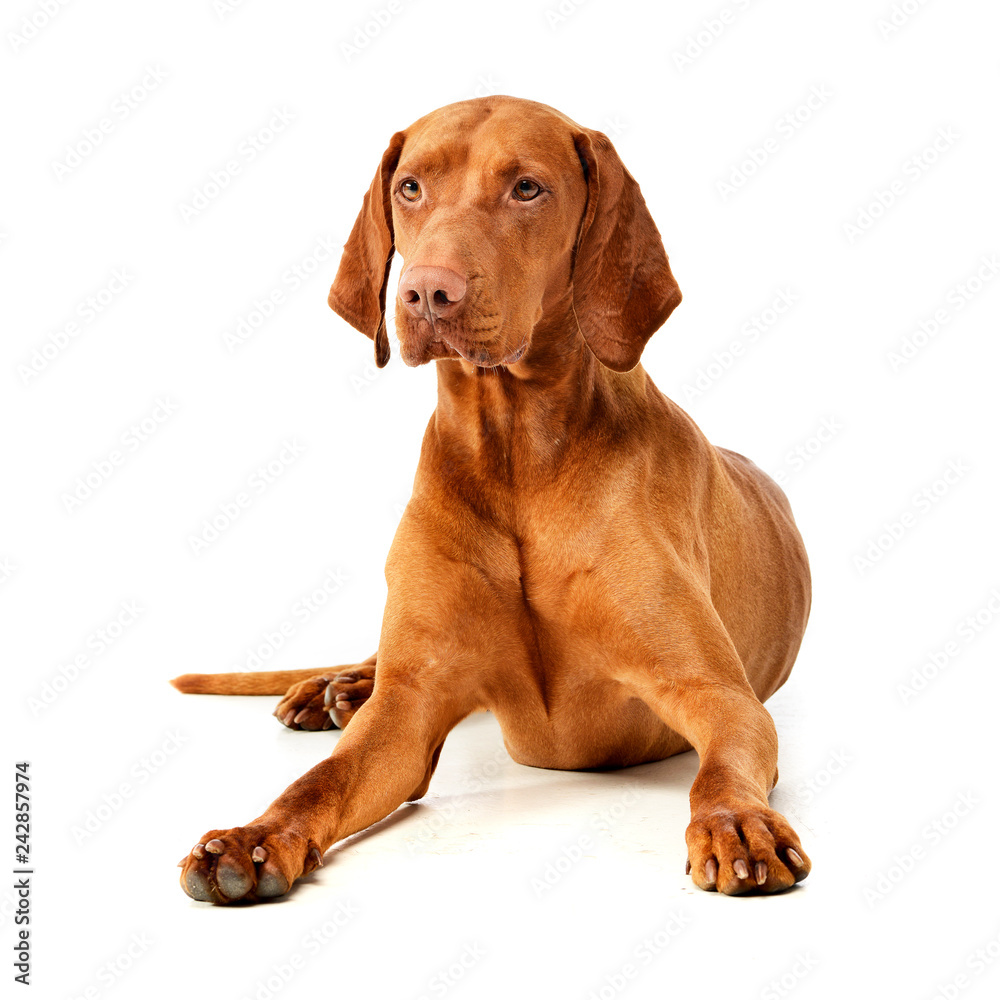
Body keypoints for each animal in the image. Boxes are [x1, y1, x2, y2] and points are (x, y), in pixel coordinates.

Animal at [172, 97, 812, 904]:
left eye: (527, 189)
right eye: (410, 187)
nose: (426, 291)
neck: (516, 459)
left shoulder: (719, 694)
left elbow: (721, 768)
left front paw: (736, 822)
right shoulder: (409, 710)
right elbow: (320, 782)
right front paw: (252, 839)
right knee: (374, 669)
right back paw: (335, 689)